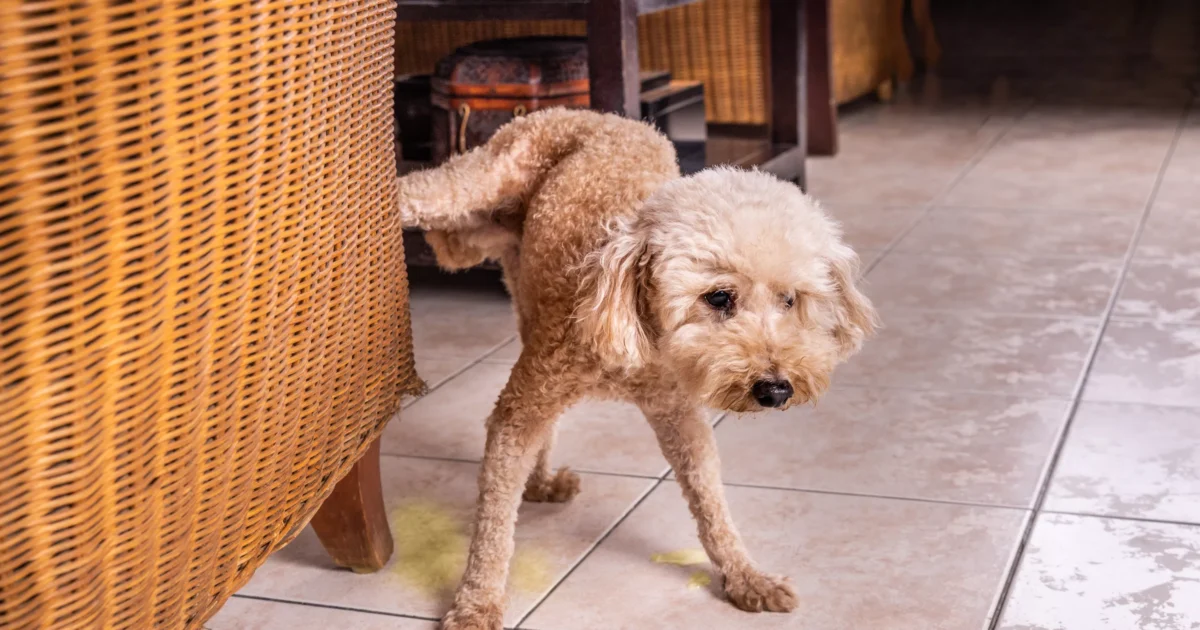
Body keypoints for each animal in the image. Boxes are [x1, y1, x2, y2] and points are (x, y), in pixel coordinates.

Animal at [398, 109, 878, 628]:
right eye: (719, 297)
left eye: (790, 300)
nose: (776, 390)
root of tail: (592, 113)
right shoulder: (521, 411)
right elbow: (493, 523)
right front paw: (477, 602)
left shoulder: (678, 416)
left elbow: (711, 503)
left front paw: (745, 576)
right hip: (481, 181)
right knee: (422, 188)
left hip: (521, 287)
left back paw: (542, 481)